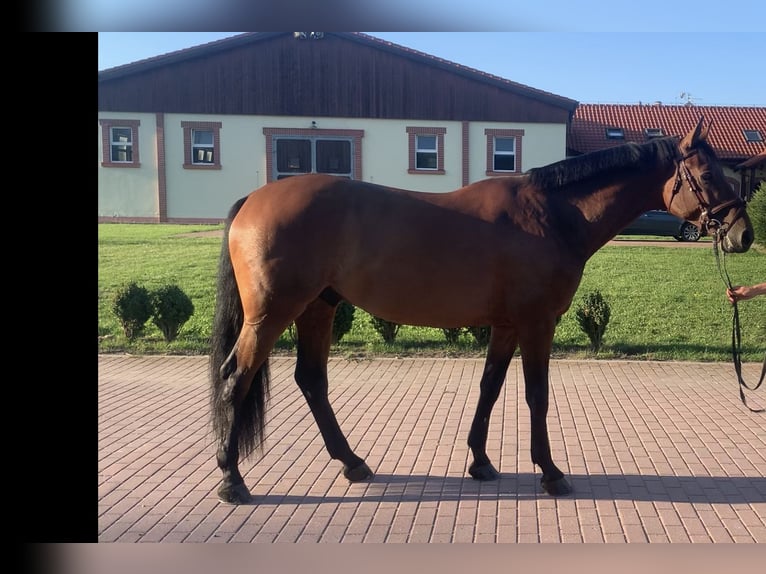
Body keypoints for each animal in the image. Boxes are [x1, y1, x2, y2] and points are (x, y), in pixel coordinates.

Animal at [208, 119, 756, 506]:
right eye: (708, 174)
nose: (744, 234)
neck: (554, 215)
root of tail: (254, 199)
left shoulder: (507, 325)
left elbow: (490, 388)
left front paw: (480, 462)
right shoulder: (537, 324)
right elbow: (537, 395)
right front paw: (550, 473)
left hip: (317, 309)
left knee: (311, 380)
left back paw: (353, 463)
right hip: (272, 314)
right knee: (237, 377)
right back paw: (233, 480)